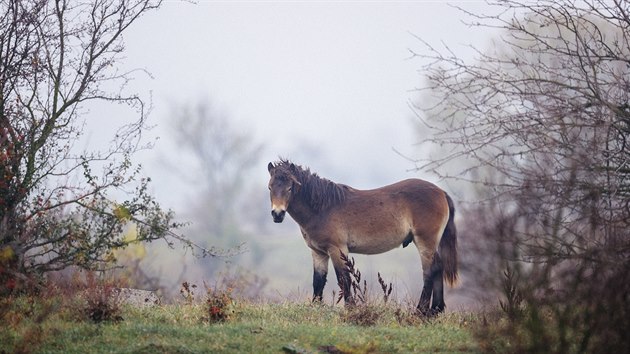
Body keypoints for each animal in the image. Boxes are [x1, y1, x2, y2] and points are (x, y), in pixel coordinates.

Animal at [266, 160, 460, 316]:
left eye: (290, 187)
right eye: (270, 187)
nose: (277, 214)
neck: (322, 208)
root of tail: (441, 192)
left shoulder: (337, 249)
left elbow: (344, 279)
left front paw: (351, 309)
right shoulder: (318, 253)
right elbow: (318, 281)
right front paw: (316, 308)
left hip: (425, 242)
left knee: (430, 271)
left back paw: (421, 311)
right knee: (438, 267)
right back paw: (435, 310)